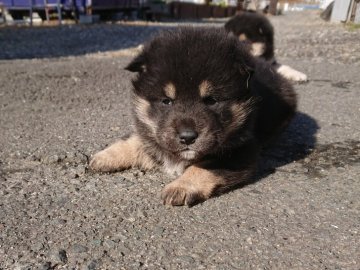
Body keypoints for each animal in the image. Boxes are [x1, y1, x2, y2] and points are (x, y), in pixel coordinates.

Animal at [88, 27, 296, 206]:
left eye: (211, 100)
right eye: (166, 101)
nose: (187, 137)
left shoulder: (242, 151)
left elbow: (206, 167)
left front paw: (181, 187)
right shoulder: (153, 133)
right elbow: (135, 140)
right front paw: (105, 156)